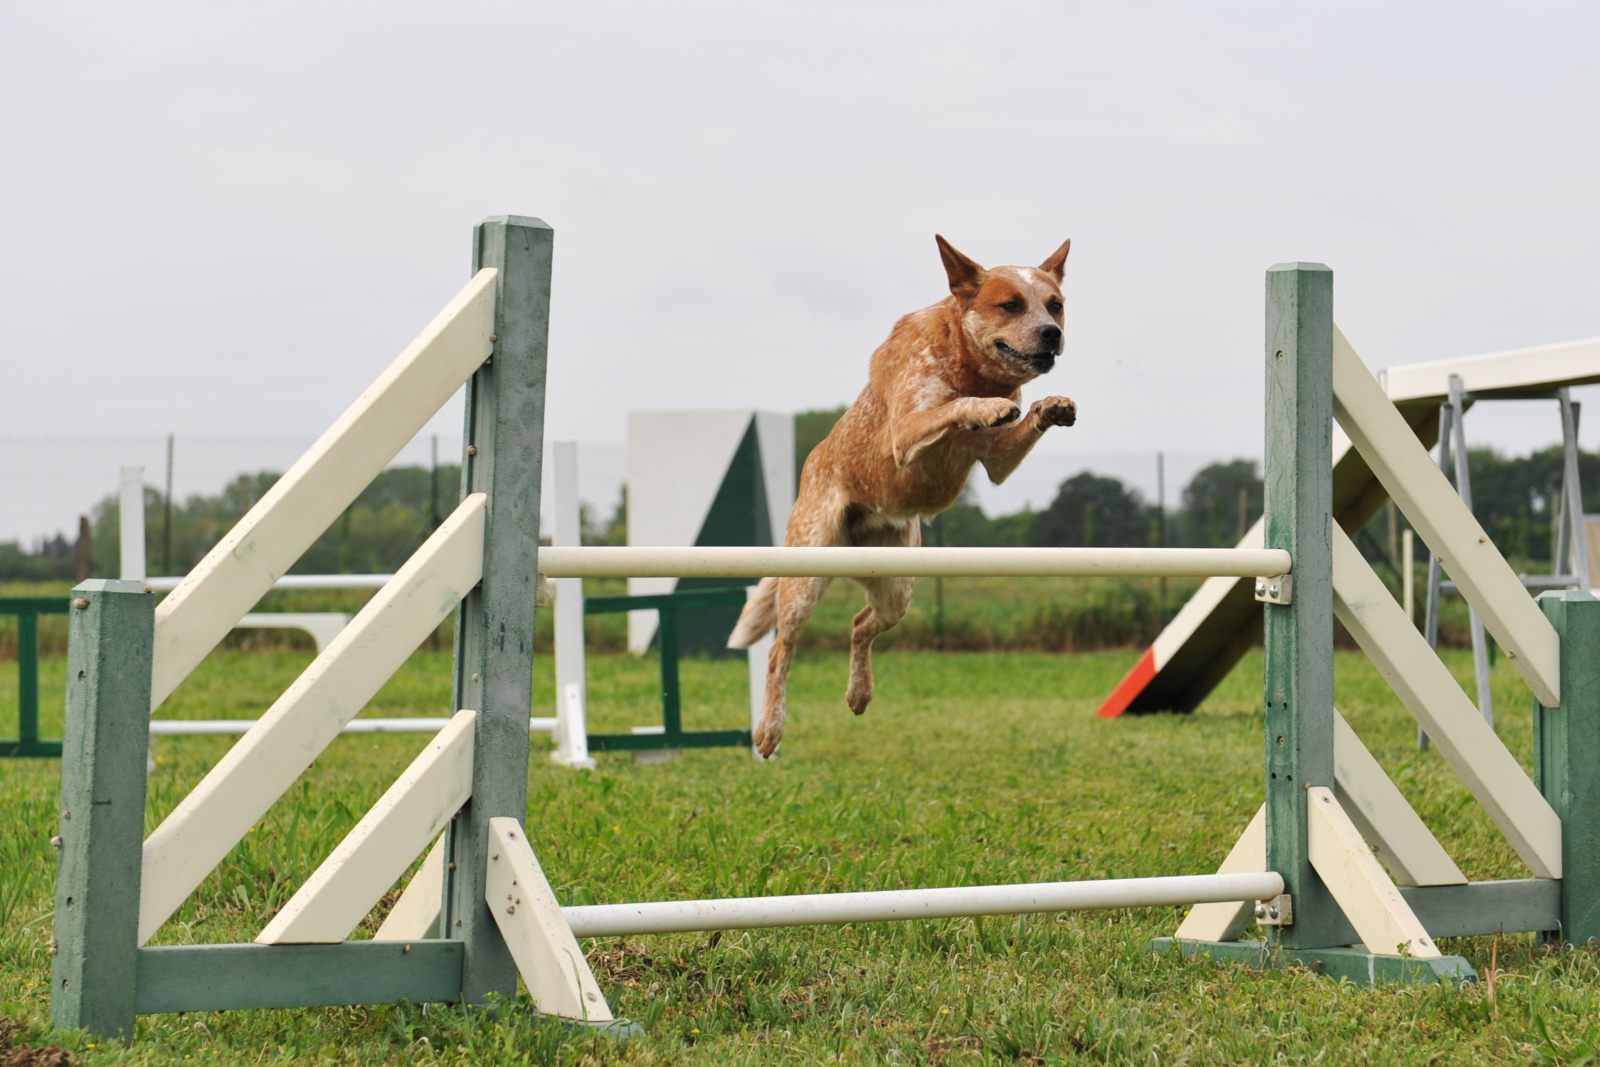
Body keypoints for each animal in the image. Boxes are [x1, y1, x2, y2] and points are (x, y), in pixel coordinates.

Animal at [732, 233, 1081, 755]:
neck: (969, 365)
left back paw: (859, 694)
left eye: (1055, 305)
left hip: (898, 585)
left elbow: (1017, 423)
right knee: (780, 647)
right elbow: (953, 407)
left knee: (860, 623)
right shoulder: (906, 432)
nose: (1051, 333)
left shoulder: (997, 462)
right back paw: (769, 729)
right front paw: (984, 407)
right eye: (1011, 304)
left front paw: (1051, 405)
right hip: (807, 576)